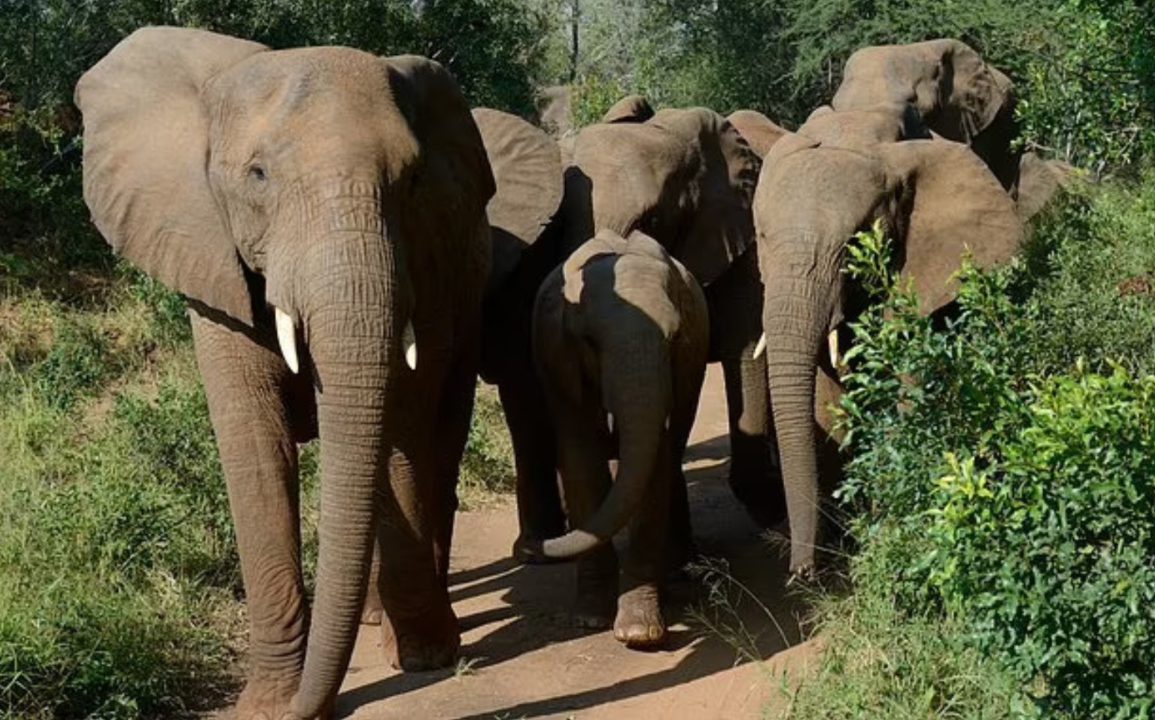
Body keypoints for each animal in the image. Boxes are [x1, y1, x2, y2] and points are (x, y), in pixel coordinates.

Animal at [76, 26, 492, 720]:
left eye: (411, 182)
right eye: (258, 175)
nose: (313, 708)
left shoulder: (427, 268)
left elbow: (398, 424)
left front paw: (426, 659)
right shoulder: (211, 261)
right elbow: (256, 448)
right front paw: (269, 704)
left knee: (438, 447)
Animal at [522, 229, 702, 647]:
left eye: (675, 338)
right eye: (590, 341)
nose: (534, 550)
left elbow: (654, 461)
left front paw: (639, 633)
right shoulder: (560, 363)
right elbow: (581, 461)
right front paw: (589, 619)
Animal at [753, 105, 1025, 580]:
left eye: (853, 245)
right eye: (762, 237)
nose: (801, 571)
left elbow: (907, 391)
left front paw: (879, 535)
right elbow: (827, 401)